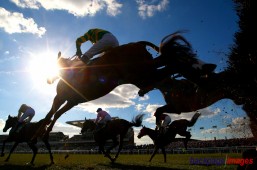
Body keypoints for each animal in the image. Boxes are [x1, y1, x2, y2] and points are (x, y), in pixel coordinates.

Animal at [32, 31, 214, 139]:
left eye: (55, 64)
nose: (48, 80)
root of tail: (138, 43)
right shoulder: (72, 101)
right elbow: (56, 114)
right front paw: (44, 132)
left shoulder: (62, 96)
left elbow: (51, 113)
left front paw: (39, 133)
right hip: (142, 74)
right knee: (169, 62)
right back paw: (201, 73)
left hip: (141, 74)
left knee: (172, 63)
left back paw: (201, 75)